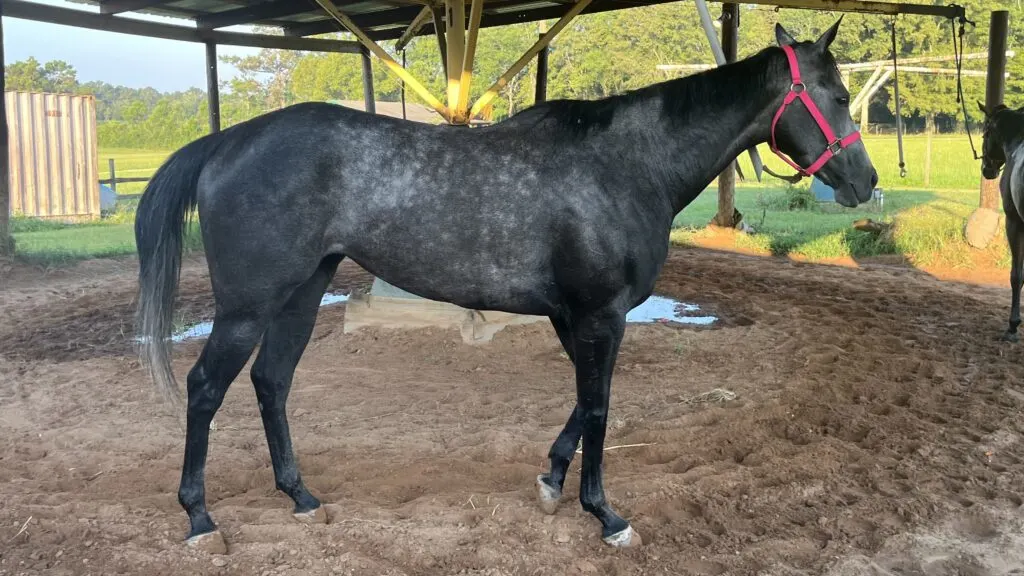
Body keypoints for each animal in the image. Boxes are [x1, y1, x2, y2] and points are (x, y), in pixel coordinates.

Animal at [132, 20, 876, 549]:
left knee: (272, 382)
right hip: (247, 307)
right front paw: (605, 515)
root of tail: (226, 143)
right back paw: (200, 519)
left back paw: (300, 497)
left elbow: (585, 401)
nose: (865, 181)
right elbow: (600, 406)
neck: (627, 163)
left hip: (303, 294)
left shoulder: (574, 317)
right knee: (206, 388)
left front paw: (552, 481)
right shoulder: (600, 314)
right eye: (839, 96)